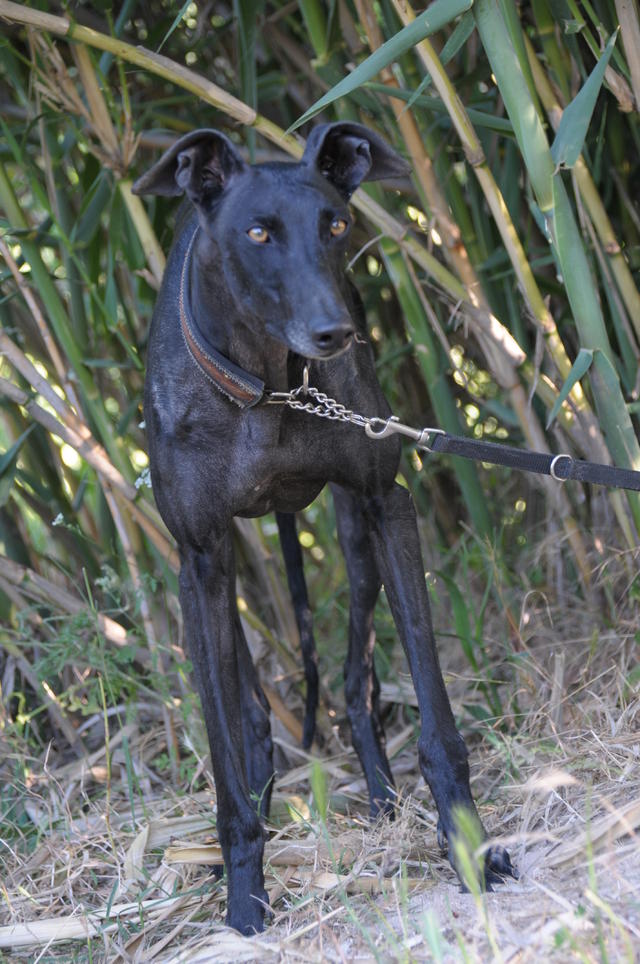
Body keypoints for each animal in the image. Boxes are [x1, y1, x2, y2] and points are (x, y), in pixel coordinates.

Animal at [132, 124, 516, 936]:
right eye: (257, 233)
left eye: (336, 225)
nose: (334, 333)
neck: (272, 388)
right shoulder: (200, 557)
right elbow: (226, 761)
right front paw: (244, 902)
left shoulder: (385, 503)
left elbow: (435, 718)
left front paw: (469, 852)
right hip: (224, 579)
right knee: (249, 713)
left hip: (351, 534)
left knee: (351, 680)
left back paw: (381, 798)